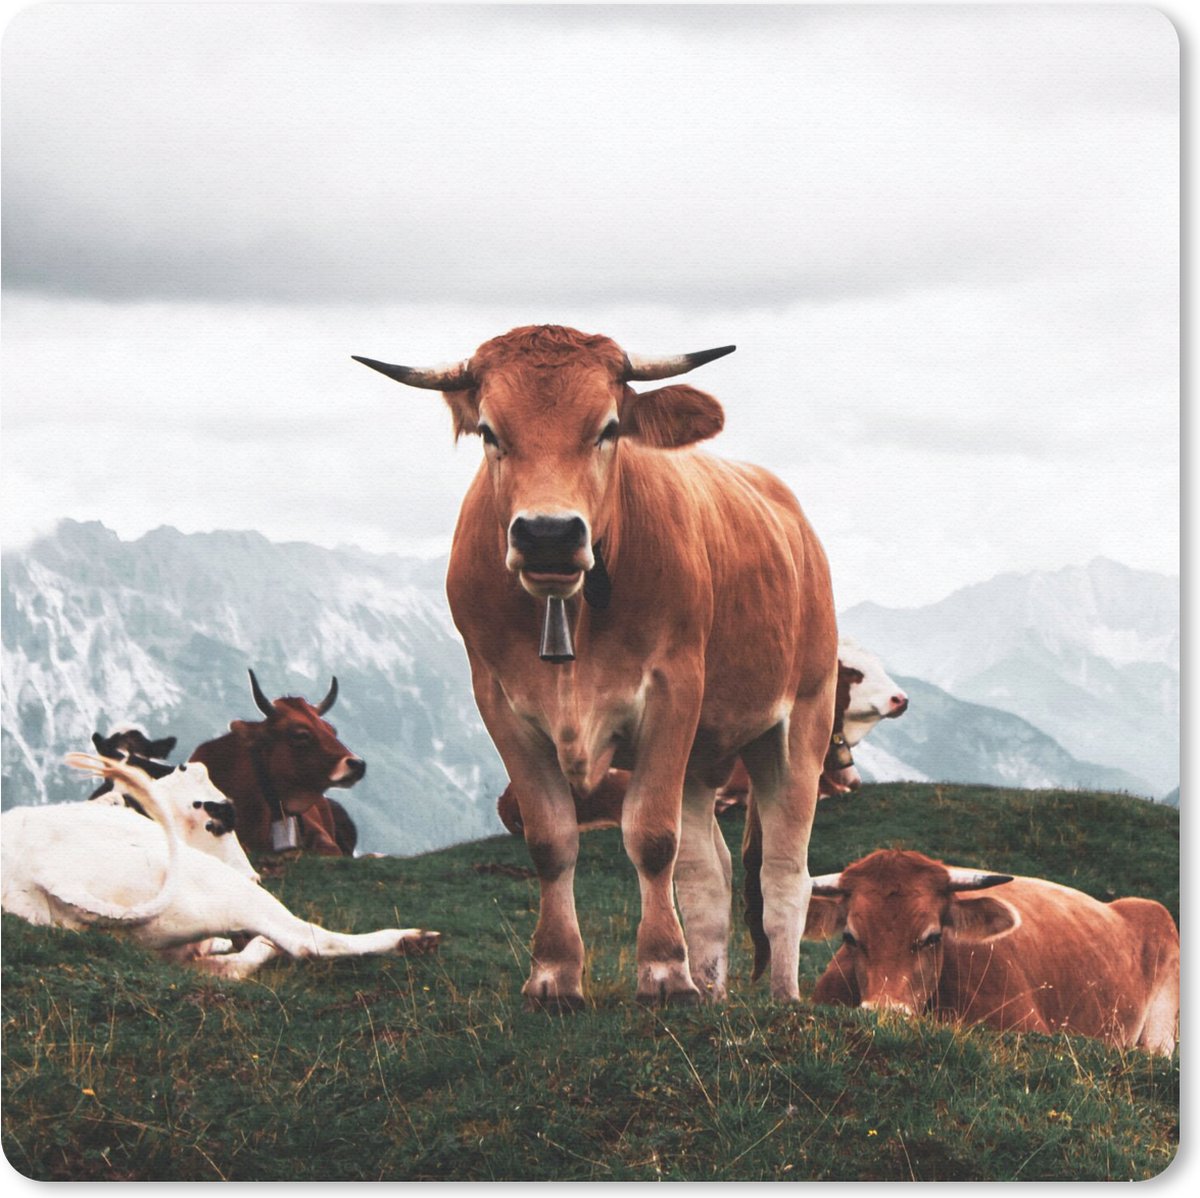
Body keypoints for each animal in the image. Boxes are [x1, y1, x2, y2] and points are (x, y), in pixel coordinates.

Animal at [1, 753, 438, 979]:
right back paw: (411, 938)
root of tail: (40, 866)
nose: (254, 875)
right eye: (225, 814)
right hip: (228, 890)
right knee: (306, 941)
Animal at [355, 324, 838, 1007]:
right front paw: (554, 975)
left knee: (783, 871)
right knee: (708, 874)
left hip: (801, 721)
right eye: (490, 431)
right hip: (702, 757)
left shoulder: (673, 691)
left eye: (608, 427)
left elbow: (652, 837)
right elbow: (551, 839)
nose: (548, 535)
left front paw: (663, 973)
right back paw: (713, 988)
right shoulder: (498, 702)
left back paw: (781, 996)